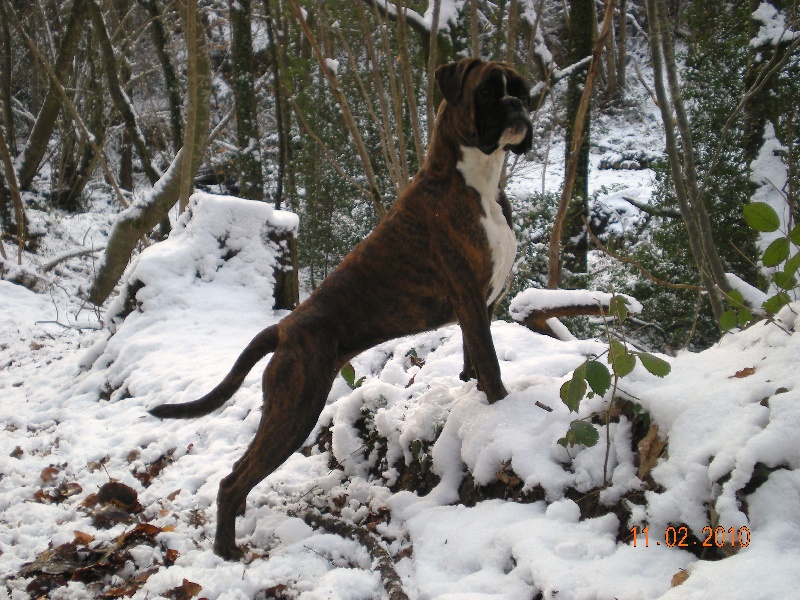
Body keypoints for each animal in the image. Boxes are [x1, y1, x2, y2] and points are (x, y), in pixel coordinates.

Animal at [149, 58, 532, 560]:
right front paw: (506, 413)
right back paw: (227, 550)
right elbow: (490, 366)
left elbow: (474, 362)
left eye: (520, 89)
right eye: (488, 92)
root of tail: (285, 328)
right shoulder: (470, 298)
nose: (517, 105)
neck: (474, 180)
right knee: (233, 480)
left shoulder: (479, 308)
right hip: (295, 410)